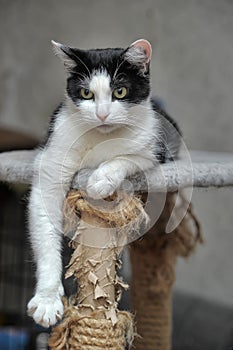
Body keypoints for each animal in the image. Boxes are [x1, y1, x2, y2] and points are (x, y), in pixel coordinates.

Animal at [26, 39, 180, 328]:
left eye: (120, 91)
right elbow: (44, 219)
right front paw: (47, 300)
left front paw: (100, 180)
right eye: (86, 93)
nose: (102, 114)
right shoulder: (52, 155)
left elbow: (128, 158)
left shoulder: (155, 148)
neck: (100, 137)